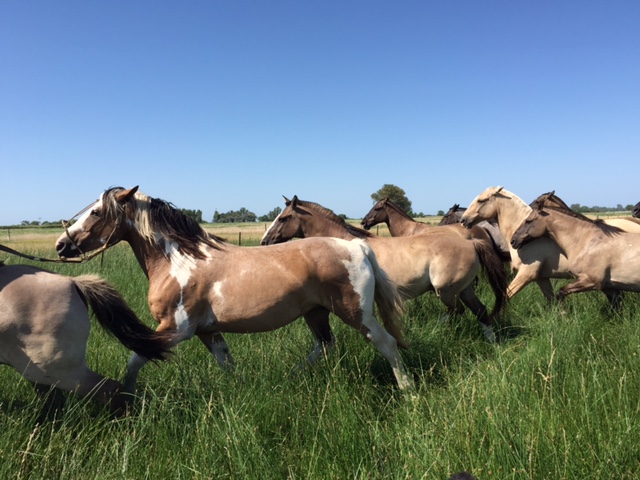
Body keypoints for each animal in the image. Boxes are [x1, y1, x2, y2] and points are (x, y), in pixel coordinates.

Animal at [55, 187, 413, 392]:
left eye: (96, 211)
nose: (61, 245)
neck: (179, 260)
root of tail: (357, 246)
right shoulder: (207, 331)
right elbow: (226, 363)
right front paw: (241, 388)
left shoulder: (176, 329)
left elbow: (135, 360)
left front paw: (128, 400)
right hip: (316, 313)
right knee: (324, 346)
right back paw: (290, 377)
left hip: (357, 313)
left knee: (386, 343)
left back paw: (407, 391)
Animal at [262, 196, 508, 342]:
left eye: (283, 218)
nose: (264, 241)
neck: (345, 245)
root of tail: (471, 242)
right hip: (464, 289)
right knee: (480, 311)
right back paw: (491, 342)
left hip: (446, 291)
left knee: (458, 311)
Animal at [510, 192, 640, 301]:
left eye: (528, 221)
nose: (513, 240)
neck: (586, 241)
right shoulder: (609, 287)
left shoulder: (590, 281)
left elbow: (561, 292)